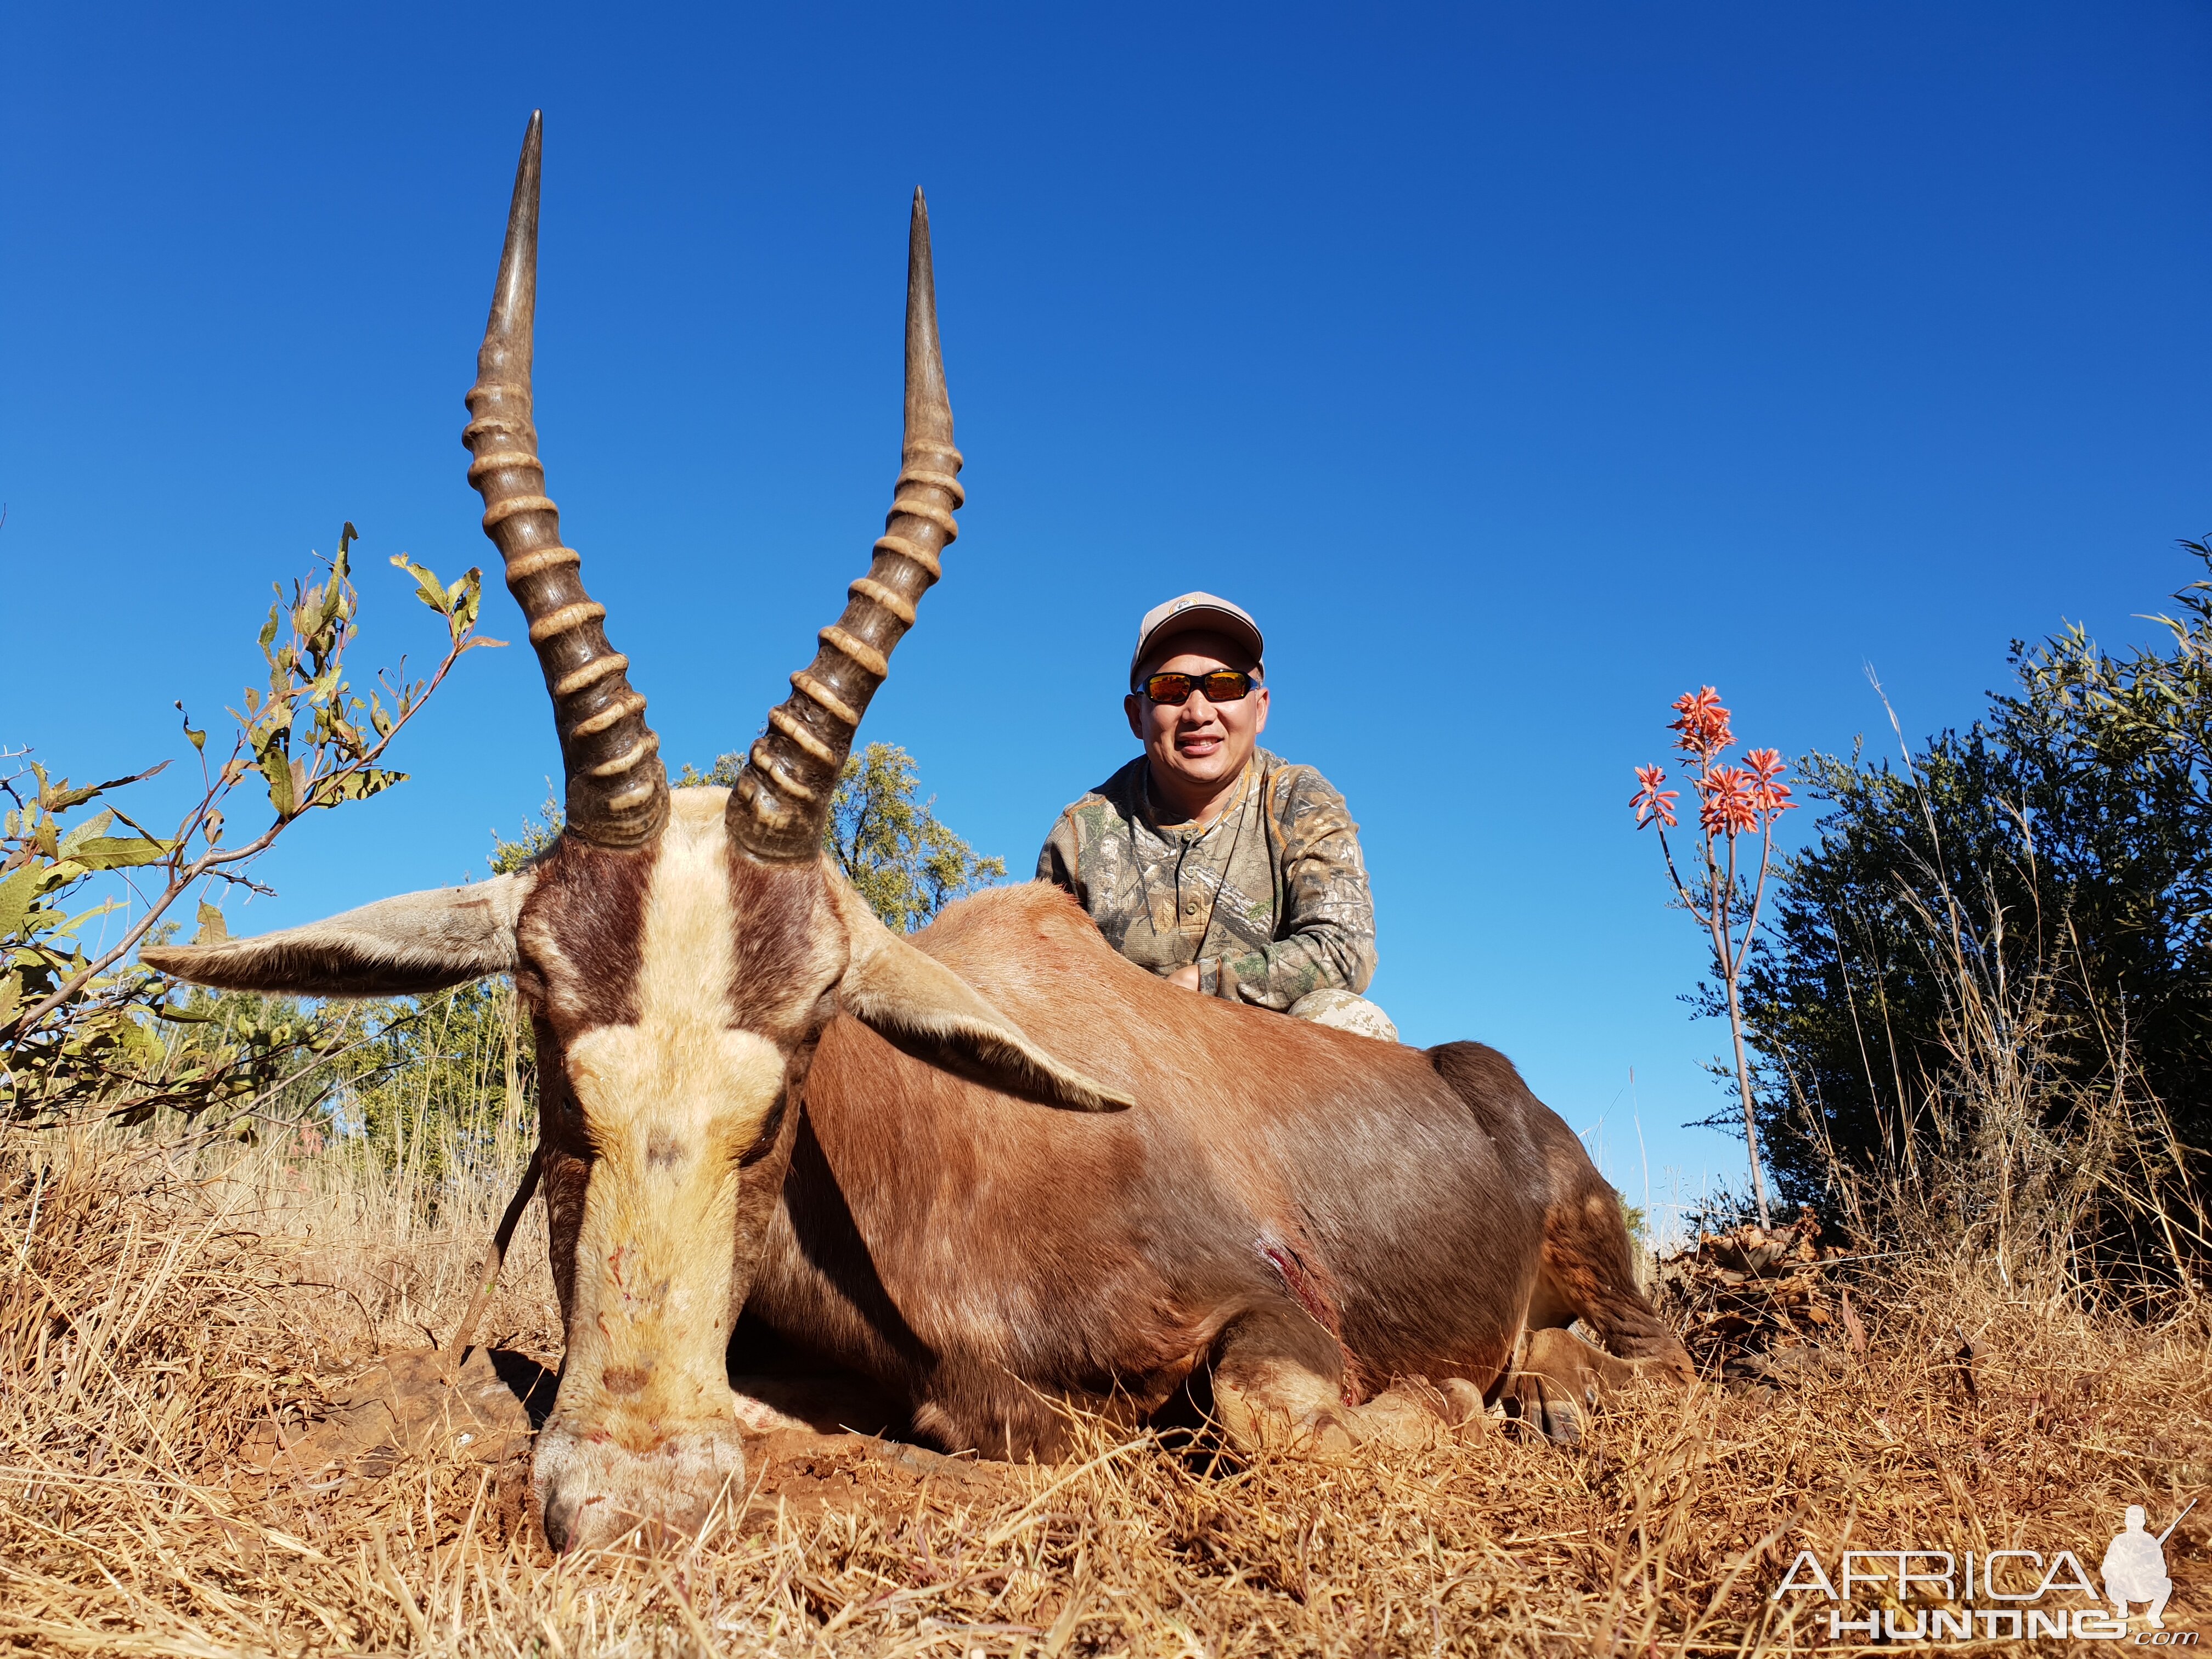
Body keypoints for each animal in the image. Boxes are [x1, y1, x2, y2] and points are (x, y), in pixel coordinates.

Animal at [143, 117, 1690, 1557]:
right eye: (543, 1022)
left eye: (799, 1062)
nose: (633, 1495)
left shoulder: (1271, 1314)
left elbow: (1260, 1411)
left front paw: (1446, 1397)